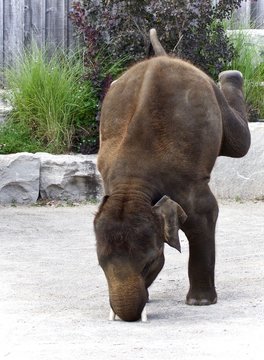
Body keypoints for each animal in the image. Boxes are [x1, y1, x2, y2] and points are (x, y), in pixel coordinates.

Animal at [94, 28, 251, 320]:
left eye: (150, 261)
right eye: (100, 265)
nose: (130, 317)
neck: (133, 183)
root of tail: (164, 57)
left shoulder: (184, 180)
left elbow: (203, 213)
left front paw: (200, 302)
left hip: (217, 103)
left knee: (240, 143)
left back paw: (231, 74)